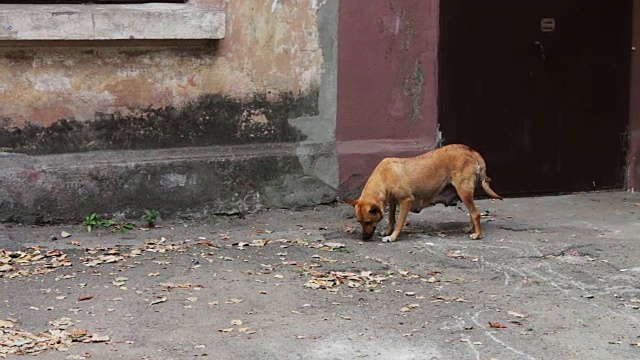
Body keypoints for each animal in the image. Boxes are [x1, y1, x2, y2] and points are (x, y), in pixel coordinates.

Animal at [348, 144, 502, 242]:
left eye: (368, 221)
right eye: (359, 222)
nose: (364, 238)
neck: (383, 177)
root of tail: (471, 150)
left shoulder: (406, 201)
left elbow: (399, 222)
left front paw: (393, 237)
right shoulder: (392, 201)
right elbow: (391, 218)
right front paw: (388, 230)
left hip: (463, 191)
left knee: (475, 213)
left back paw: (478, 234)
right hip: (464, 193)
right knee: (472, 211)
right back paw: (470, 228)